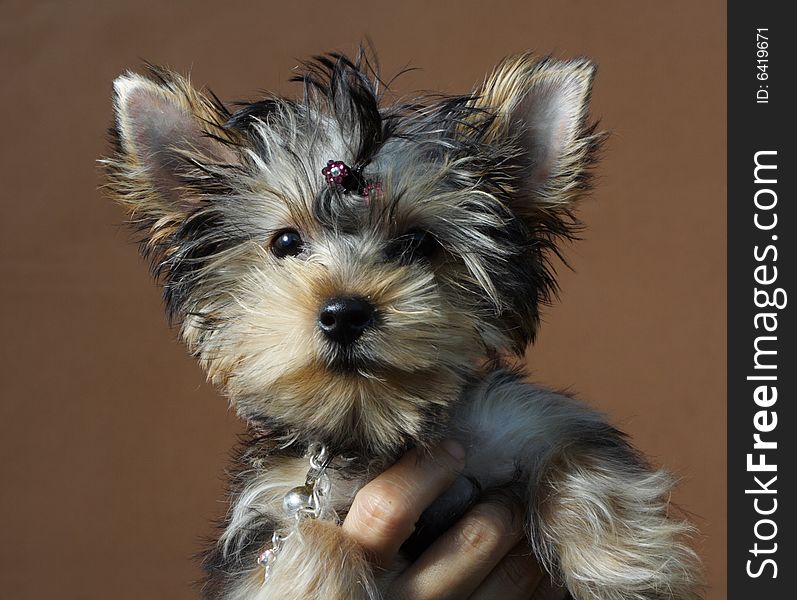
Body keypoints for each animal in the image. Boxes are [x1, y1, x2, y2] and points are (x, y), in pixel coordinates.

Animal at [102, 48, 700, 600]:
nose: (345, 313)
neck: (378, 427)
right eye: (286, 242)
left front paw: (622, 558)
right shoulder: (272, 510)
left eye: (418, 242)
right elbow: (307, 536)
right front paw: (315, 576)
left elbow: (568, 445)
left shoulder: (509, 420)